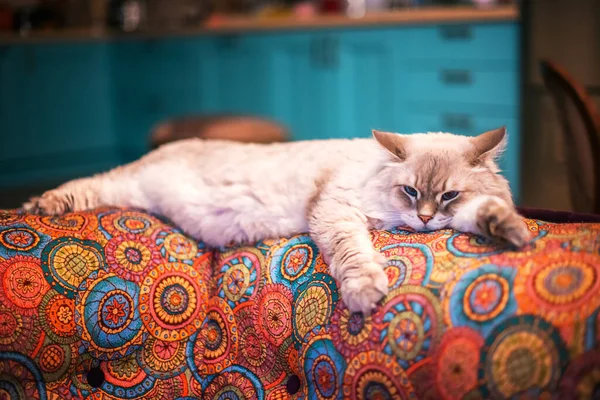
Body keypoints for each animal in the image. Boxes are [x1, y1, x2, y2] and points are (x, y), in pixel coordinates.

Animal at [23, 126, 528, 314]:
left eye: (448, 196)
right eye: (410, 191)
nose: (423, 221)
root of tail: (168, 144)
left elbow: (485, 215)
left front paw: (511, 231)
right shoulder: (337, 210)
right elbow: (355, 255)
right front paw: (366, 292)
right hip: (121, 185)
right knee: (84, 185)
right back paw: (39, 206)